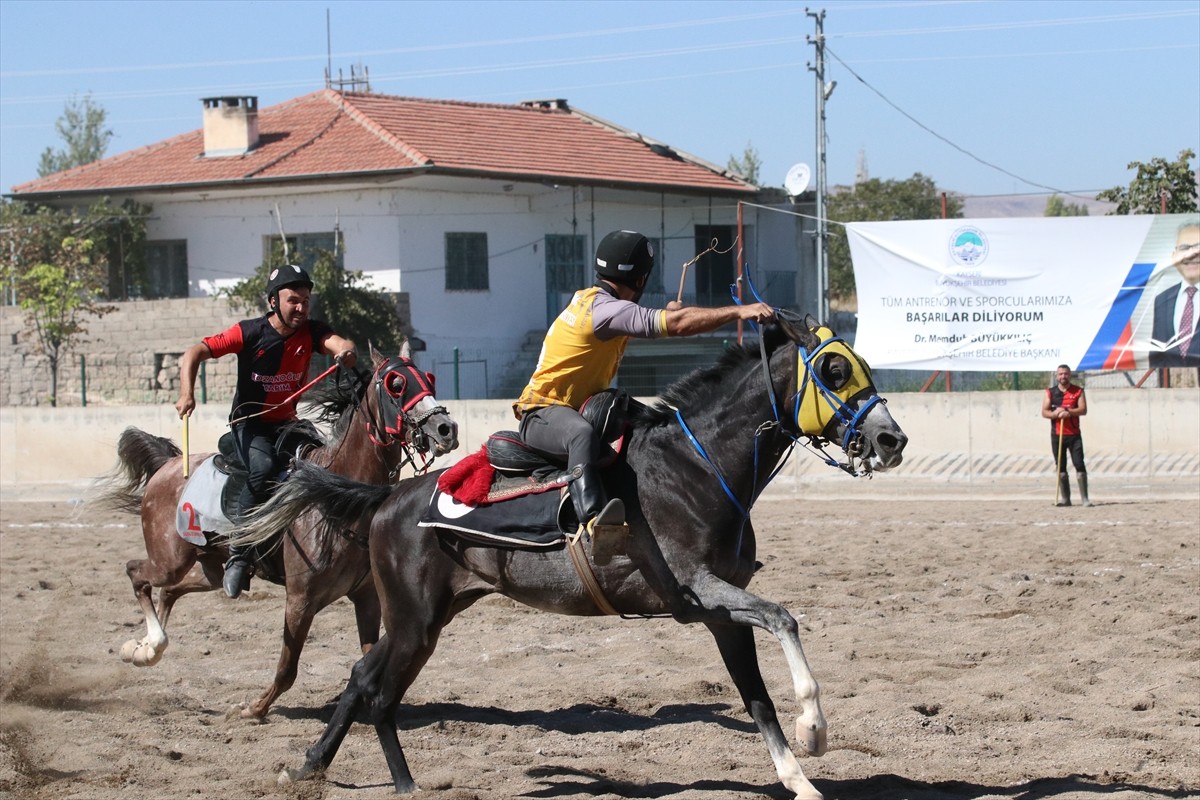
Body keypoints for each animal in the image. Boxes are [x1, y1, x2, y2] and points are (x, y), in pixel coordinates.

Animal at [93, 343, 456, 719]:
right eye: (396, 384)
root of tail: (168, 465)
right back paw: (147, 645)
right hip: (169, 558)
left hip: (209, 568)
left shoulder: (366, 597)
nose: (446, 429)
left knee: (169, 591)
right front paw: (254, 709)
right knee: (137, 573)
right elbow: (287, 669)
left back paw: (147, 648)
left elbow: (368, 656)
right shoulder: (299, 601)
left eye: (429, 379)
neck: (335, 500)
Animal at [238, 314, 902, 800]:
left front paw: (798, 778)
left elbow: (757, 696)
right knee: (375, 690)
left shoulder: (720, 613)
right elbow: (784, 618)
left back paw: (319, 768)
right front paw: (814, 729)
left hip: (426, 619)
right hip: (412, 619)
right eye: (835, 370)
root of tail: (387, 497)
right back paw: (390, 781)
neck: (695, 466)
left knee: (364, 681)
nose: (891, 438)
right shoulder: (701, 589)